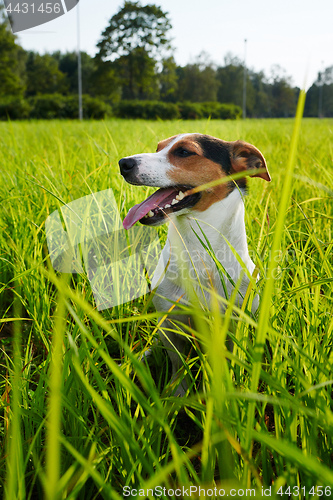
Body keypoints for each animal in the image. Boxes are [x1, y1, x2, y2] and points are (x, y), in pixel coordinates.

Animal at [118, 133, 268, 394]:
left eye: (184, 152)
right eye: (158, 148)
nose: (123, 163)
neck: (198, 254)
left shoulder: (235, 326)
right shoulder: (170, 325)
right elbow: (178, 365)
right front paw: (177, 394)